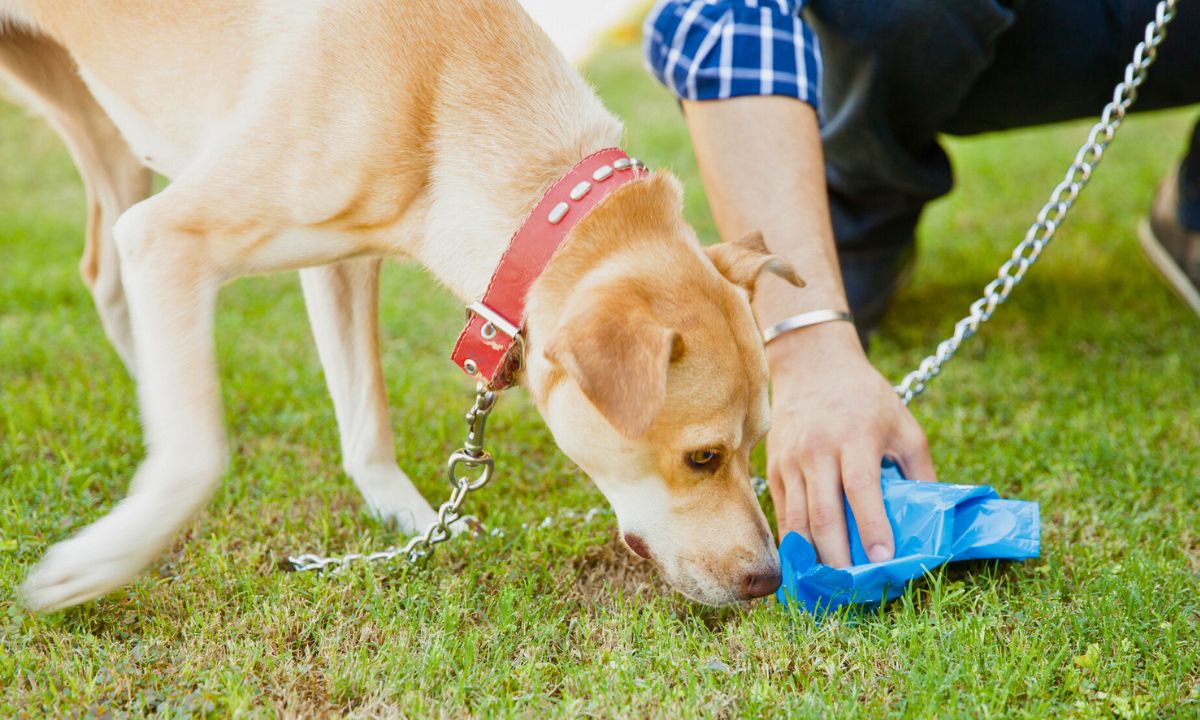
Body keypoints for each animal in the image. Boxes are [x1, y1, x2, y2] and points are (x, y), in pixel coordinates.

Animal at [2, 0, 806, 609]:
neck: (443, 89)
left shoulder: (342, 261)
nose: (768, 579)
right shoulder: (173, 237)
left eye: (759, 440)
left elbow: (366, 419)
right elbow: (199, 455)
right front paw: (100, 562)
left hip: (100, 115)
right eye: (703, 457)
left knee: (106, 271)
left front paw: (413, 523)